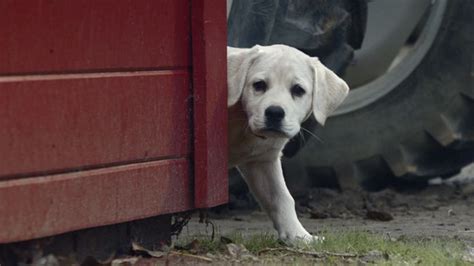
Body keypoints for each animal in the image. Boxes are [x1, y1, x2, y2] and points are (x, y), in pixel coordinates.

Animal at [228, 44, 350, 244]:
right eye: (259, 85)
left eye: (298, 90)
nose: (275, 112)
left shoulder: (262, 162)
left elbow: (281, 198)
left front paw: (299, 236)